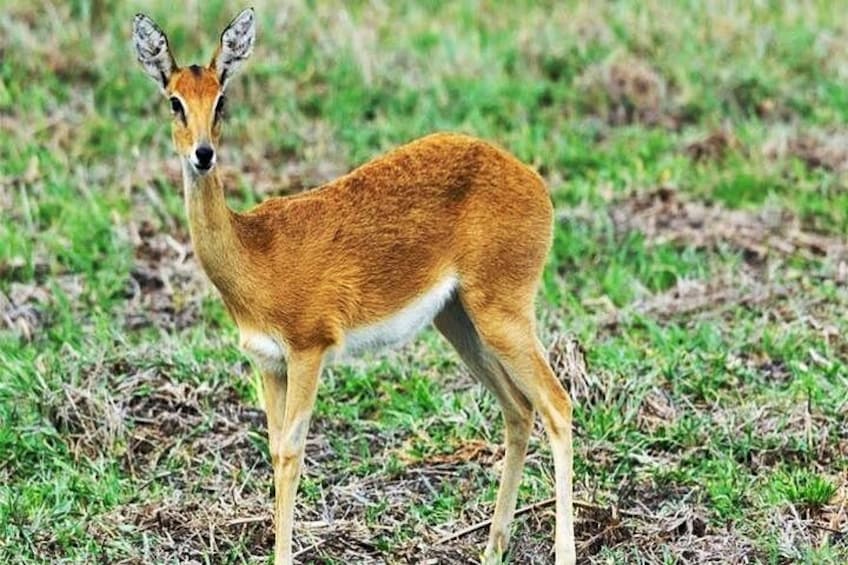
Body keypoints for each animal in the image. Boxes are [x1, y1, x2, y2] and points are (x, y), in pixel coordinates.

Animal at [131, 8, 576, 565]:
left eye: (221, 98)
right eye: (174, 100)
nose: (203, 154)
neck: (254, 252)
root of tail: (536, 184)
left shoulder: (309, 350)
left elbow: (291, 451)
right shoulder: (268, 363)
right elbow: (274, 448)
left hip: (503, 315)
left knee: (558, 406)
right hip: (459, 321)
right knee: (519, 411)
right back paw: (492, 548)